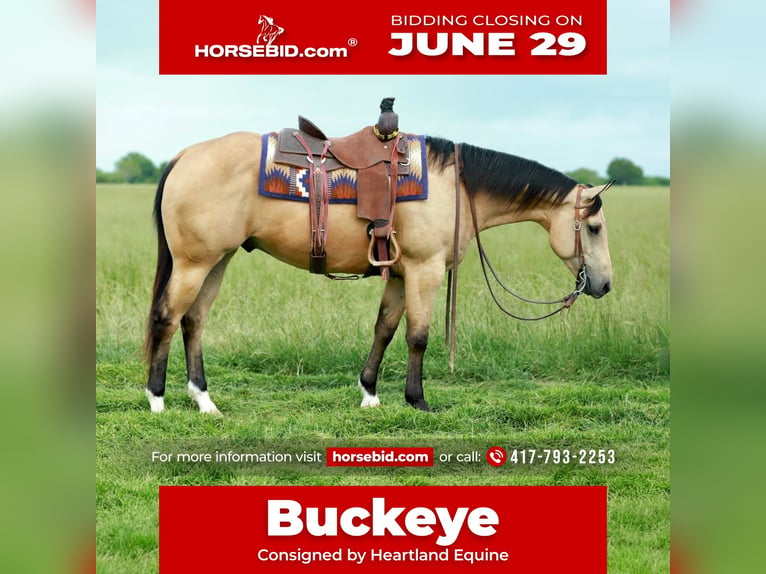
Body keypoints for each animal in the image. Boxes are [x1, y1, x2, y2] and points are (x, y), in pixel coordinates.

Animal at [143, 131, 613, 415]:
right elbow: (418, 336)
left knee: (193, 321)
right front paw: (417, 400)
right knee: (167, 318)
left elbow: (384, 329)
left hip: (217, 261)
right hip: (195, 263)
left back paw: (204, 400)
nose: (605, 285)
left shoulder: (402, 275)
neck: (455, 187)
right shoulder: (424, 271)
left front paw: (369, 392)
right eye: (594, 227)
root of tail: (184, 156)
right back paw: (157, 398)